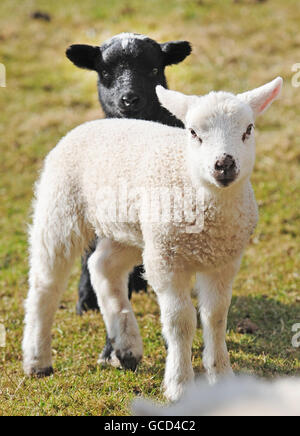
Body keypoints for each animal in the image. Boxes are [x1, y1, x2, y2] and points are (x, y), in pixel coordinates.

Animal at [22, 76, 282, 400]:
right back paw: (38, 360)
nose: (224, 164)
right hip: (60, 207)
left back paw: (126, 346)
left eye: (248, 129)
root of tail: (91, 124)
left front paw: (222, 376)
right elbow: (181, 321)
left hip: (134, 231)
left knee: (102, 267)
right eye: (193, 132)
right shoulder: (166, 261)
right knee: (45, 284)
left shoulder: (223, 262)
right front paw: (179, 385)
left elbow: (215, 316)